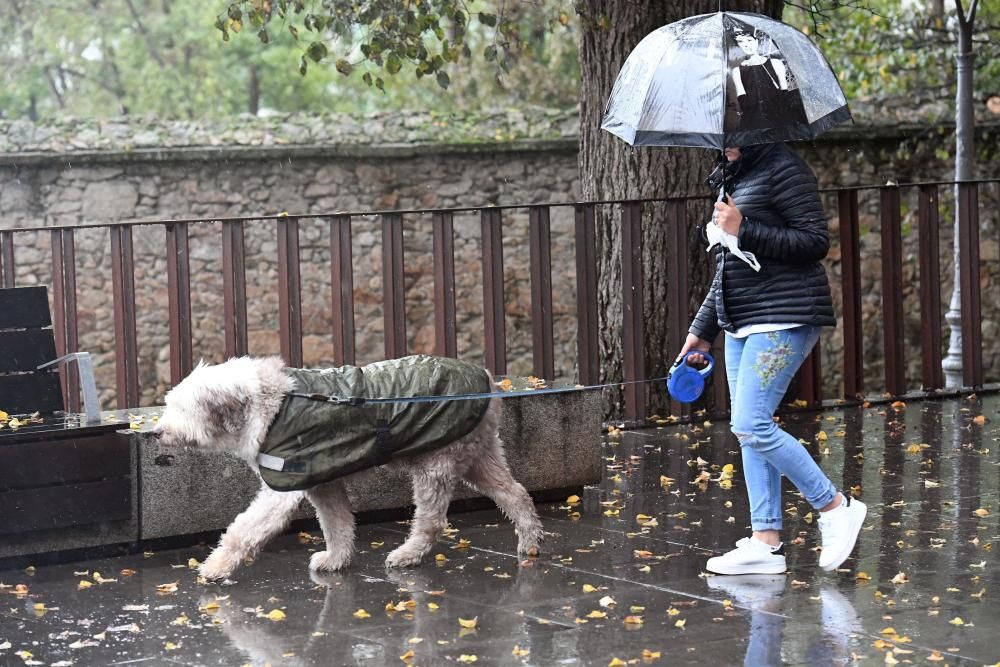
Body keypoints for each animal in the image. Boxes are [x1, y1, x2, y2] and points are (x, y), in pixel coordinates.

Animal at [149, 358, 544, 580]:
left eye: (182, 408)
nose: (156, 432)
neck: (269, 403)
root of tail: (489, 383)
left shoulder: (285, 482)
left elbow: (245, 528)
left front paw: (214, 568)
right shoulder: (323, 482)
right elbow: (337, 523)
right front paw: (335, 560)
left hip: (438, 461)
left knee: (432, 521)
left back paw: (407, 555)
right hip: (477, 454)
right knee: (515, 493)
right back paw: (529, 543)